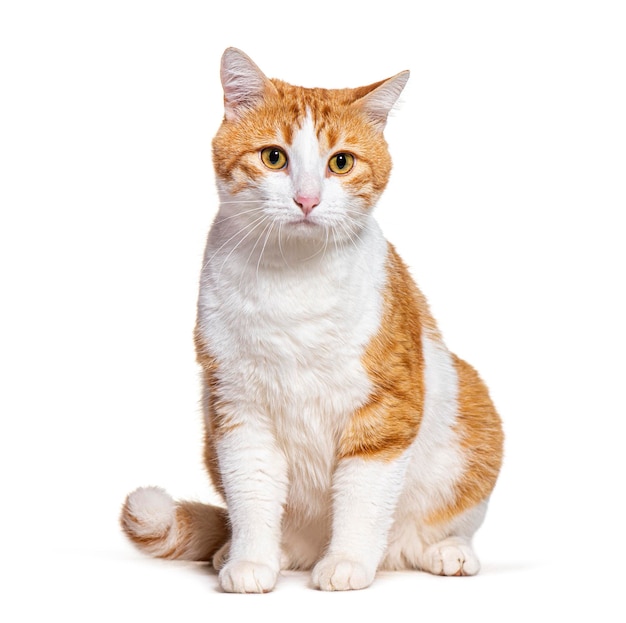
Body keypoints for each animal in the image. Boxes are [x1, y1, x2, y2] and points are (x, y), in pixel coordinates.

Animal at [120, 47, 502, 596]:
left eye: (340, 162)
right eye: (273, 157)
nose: (306, 199)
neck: (293, 279)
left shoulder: (387, 409)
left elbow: (363, 497)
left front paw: (346, 562)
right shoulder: (238, 410)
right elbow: (253, 494)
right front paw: (252, 561)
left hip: (469, 408)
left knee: (428, 531)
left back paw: (444, 551)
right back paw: (254, 552)